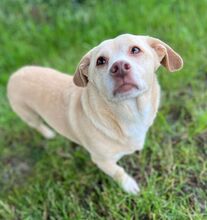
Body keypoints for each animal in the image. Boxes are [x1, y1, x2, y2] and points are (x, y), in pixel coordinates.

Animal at [7, 34, 184, 194]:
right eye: (100, 61)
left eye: (135, 50)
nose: (119, 67)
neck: (129, 112)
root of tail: (15, 74)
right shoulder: (102, 161)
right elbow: (119, 172)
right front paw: (129, 186)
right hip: (28, 115)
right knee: (37, 124)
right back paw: (49, 133)